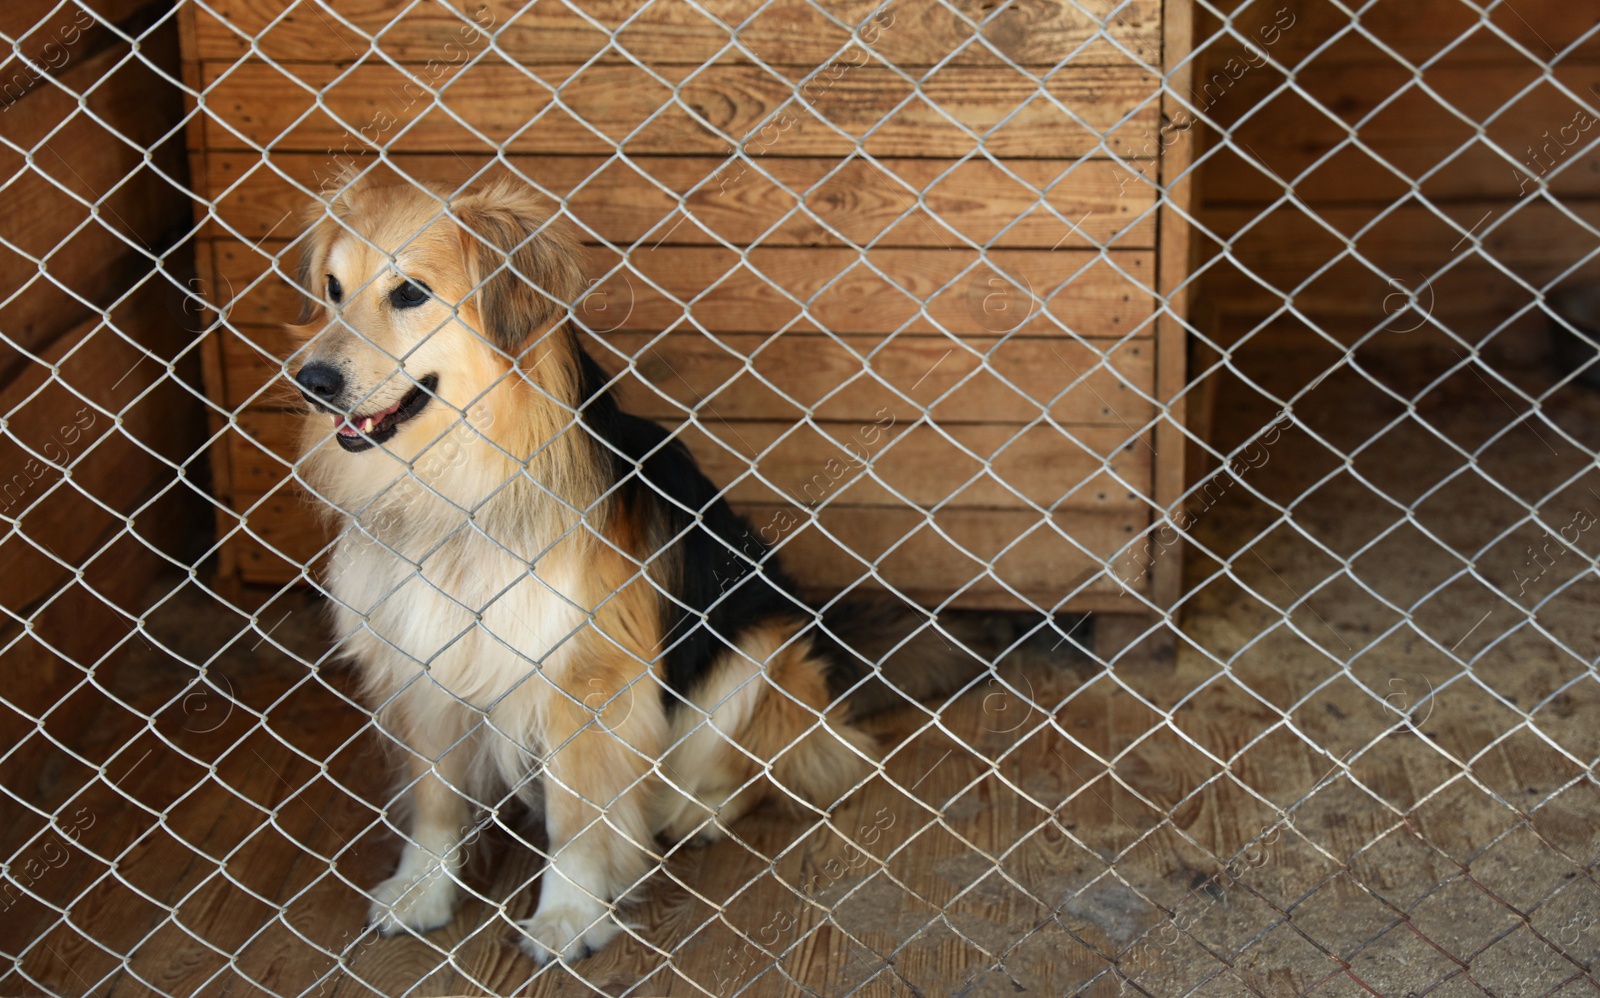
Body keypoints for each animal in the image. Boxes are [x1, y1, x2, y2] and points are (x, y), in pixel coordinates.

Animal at [292, 175, 979, 966]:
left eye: (409, 293)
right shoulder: (421, 658)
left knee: (775, 769)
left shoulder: (588, 677)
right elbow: (435, 802)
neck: (458, 486)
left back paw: (693, 810)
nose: (310, 380)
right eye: (333, 289)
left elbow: (576, 815)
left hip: (754, 655)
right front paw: (425, 890)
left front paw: (568, 913)